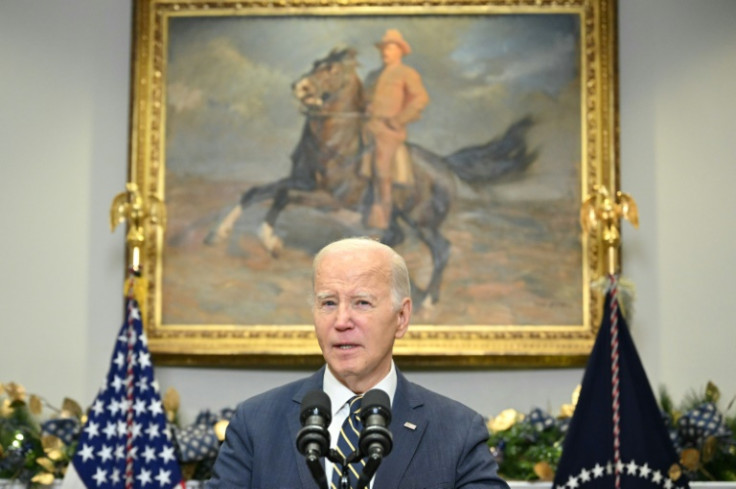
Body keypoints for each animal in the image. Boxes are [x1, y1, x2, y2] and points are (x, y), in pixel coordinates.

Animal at [204, 45, 536, 304]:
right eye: (315, 63)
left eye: (332, 69)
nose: (299, 87)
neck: (336, 144)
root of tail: (443, 162)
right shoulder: (304, 181)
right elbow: (257, 192)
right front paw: (218, 234)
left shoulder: (330, 199)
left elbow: (283, 196)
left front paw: (270, 241)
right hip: (396, 214)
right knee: (396, 236)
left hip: (423, 222)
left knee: (442, 250)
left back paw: (429, 301)